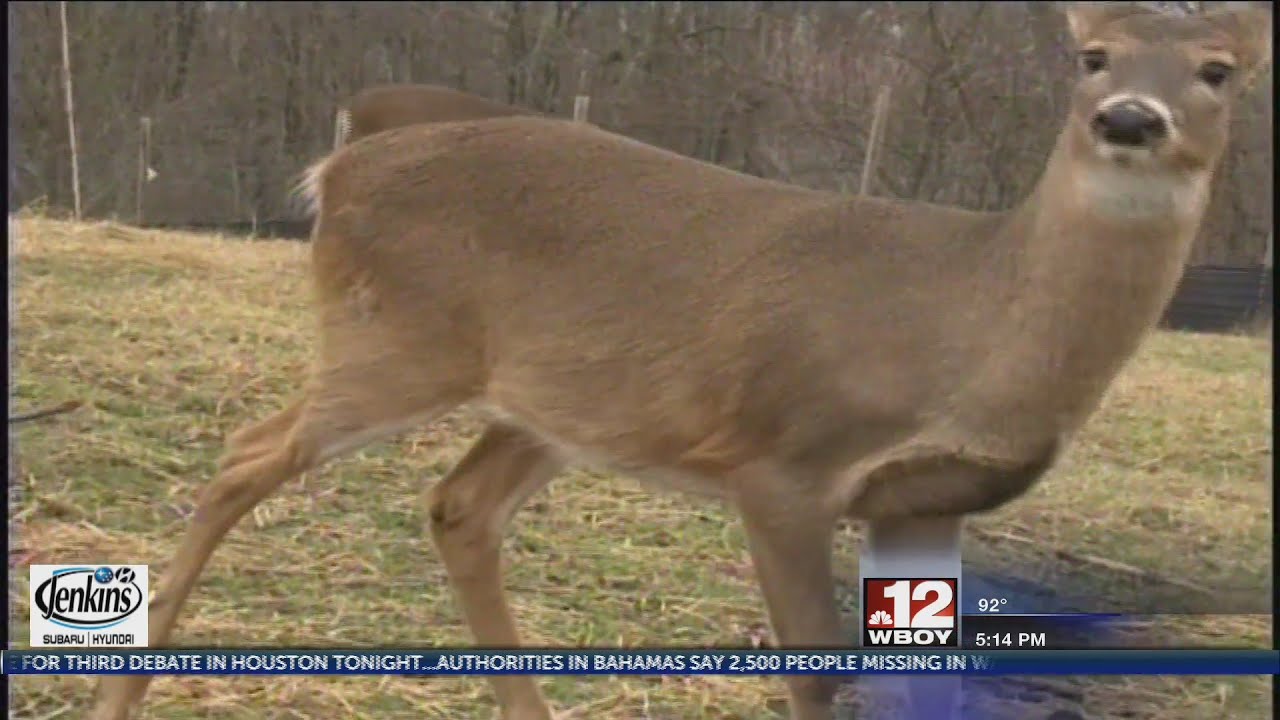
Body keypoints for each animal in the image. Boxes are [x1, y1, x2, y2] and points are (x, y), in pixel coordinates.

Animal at [91, 4, 1270, 720]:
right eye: (1092, 56)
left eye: (1218, 69)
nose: (1129, 118)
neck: (972, 323)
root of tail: (351, 151)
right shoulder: (787, 461)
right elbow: (817, 672)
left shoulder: (926, 498)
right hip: (398, 340)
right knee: (246, 455)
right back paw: (122, 694)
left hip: (557, 401)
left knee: (457, 507)